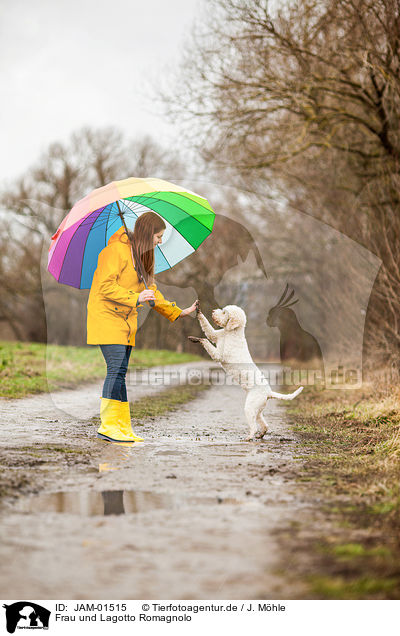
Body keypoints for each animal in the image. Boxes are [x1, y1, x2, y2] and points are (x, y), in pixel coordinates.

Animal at [188, 304, 304, 442]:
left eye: (224, 312)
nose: (213, 311)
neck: (231, 333)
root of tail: (269, 393)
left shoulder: (218, 355)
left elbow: (206, 340)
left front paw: (198, 338)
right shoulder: (215, 335)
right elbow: (207, 329)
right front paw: (198, 312)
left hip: (250, 408)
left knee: (254, 426)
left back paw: (249, 437)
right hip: (257, 410)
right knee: (264, 424)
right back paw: (261, 434)